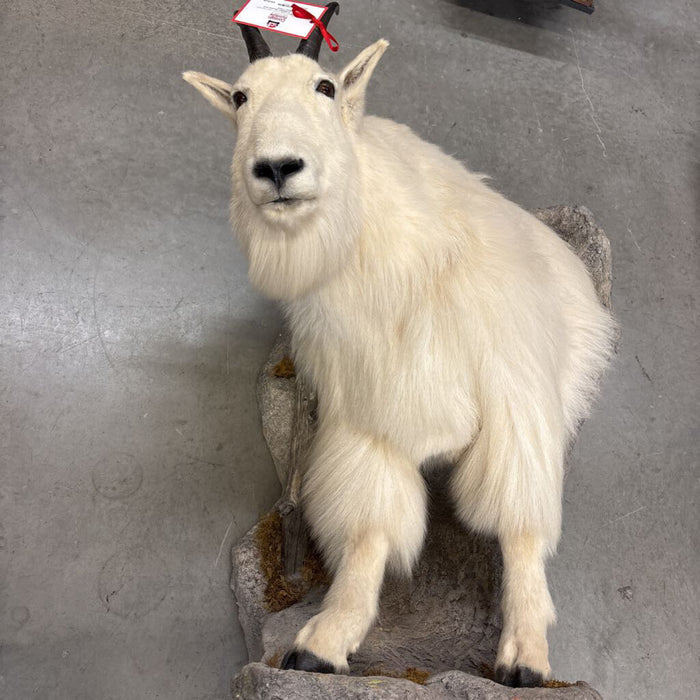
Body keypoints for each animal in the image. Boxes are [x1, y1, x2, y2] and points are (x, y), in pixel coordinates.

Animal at [183, 4, 615, 687]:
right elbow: (369, 533)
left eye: (325, 86)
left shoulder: (516, 407)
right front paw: (322, 644)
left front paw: (526, 656)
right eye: (241, 96)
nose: (277, 169)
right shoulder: (369, 421)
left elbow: (520, 527)